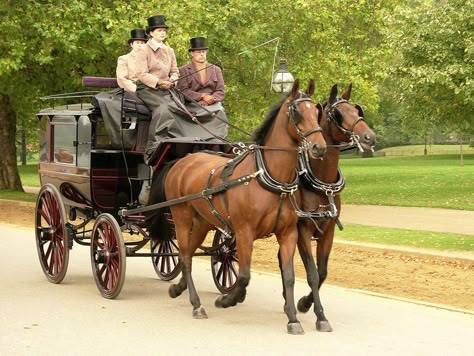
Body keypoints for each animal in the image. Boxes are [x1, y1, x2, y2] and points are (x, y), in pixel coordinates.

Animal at [151, 78, 326, 334]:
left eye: (317, 112)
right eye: (296, 112)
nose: (319, 147)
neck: (267, 176)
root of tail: (181, 161)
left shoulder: (288, 233)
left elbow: (289, 276)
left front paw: (293, 319)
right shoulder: (244, 232)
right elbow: (243, 276)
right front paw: (228, 299)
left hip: (202, 221)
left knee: (189, 254)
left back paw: (178, 288)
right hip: (181, 217)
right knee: (184, 256)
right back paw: (196, 304)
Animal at [280, 82, 376, 330]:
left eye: (357, 110)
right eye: (338, 113)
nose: (369, 137)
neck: (320, 182)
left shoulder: (329, 230)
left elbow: (322, 272)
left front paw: (304, 304)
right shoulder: (302, 230)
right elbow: (312, 273)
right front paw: (313, 311)